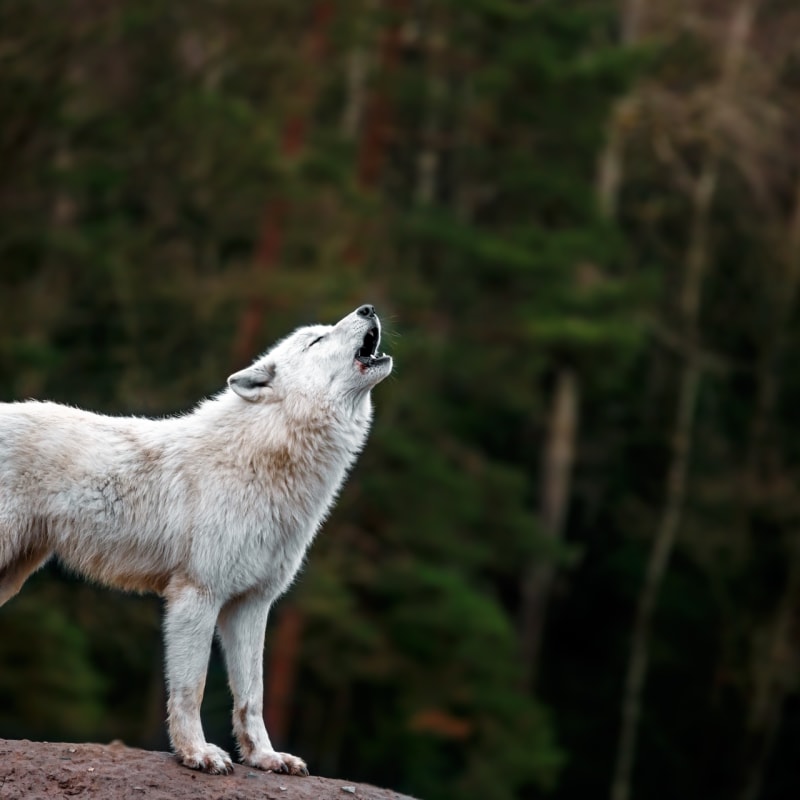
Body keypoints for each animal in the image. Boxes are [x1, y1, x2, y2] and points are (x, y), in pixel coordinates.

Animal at [0, 304, 392, 776]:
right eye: (316, 340)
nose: (368, 308)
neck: (261, 459)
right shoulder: (196, 595)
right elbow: (193, 688)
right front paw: (197, 753)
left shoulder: (251, 605)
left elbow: (252, 696)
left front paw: (264, 757)